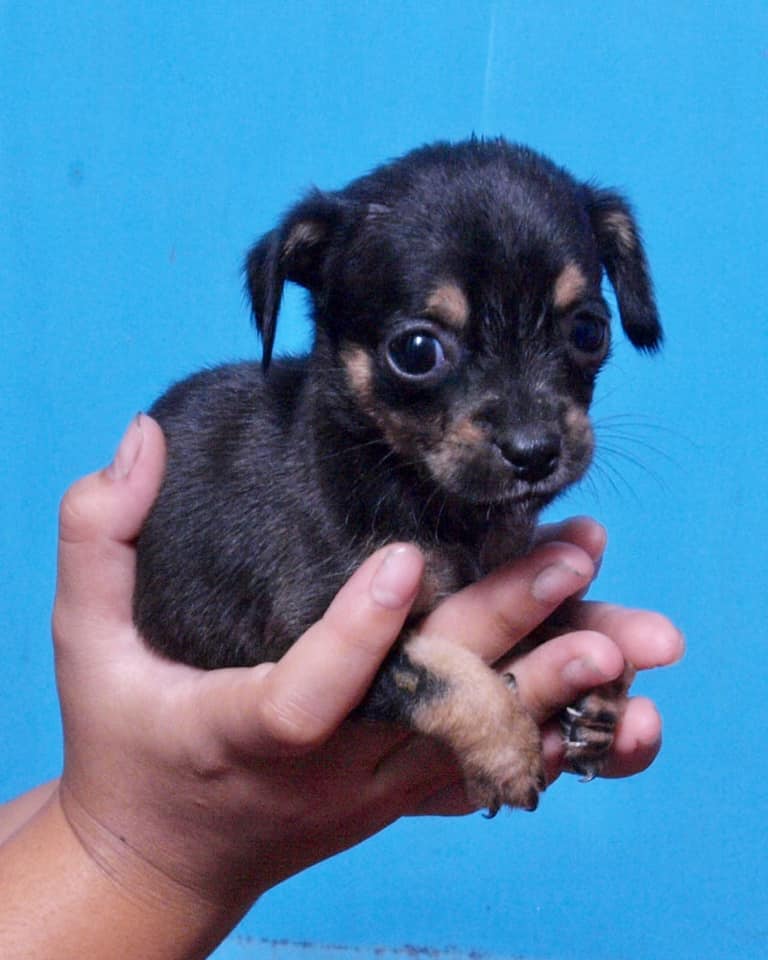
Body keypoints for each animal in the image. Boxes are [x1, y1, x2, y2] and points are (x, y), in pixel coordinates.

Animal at [134, 137, 662, 814]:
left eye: (589, 330)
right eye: (416, 352)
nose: (534, 451)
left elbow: (567, 618)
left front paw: (601, 691)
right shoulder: (320, 641)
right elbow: (437, 675)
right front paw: (508, 750)